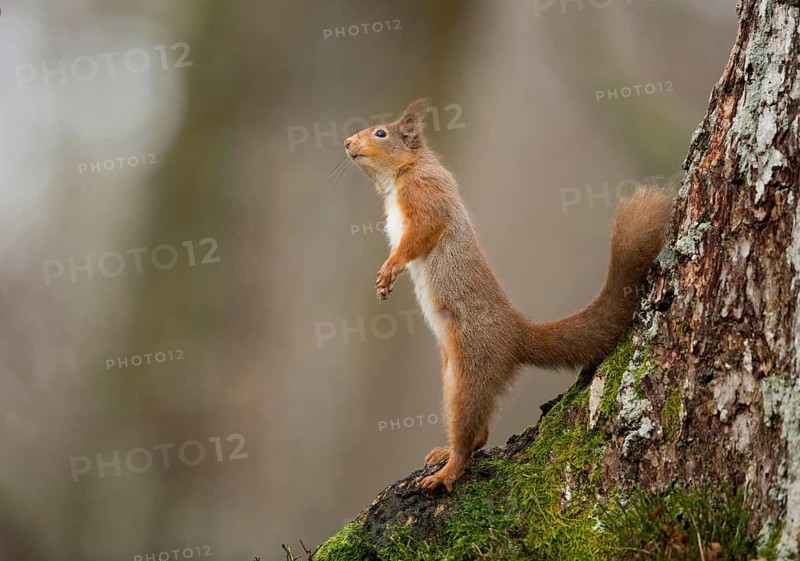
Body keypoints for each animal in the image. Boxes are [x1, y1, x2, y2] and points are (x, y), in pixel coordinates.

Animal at [344, 98, 674, 493]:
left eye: (381, 133)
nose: (347, 143)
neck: (402, 173)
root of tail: (517, 334)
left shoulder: (427, 197)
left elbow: (420, 233)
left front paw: (390, 268)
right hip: (453, 374)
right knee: (480, 432)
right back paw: (445, 453)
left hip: (473, 368)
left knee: (470, 433)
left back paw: (447, 471)